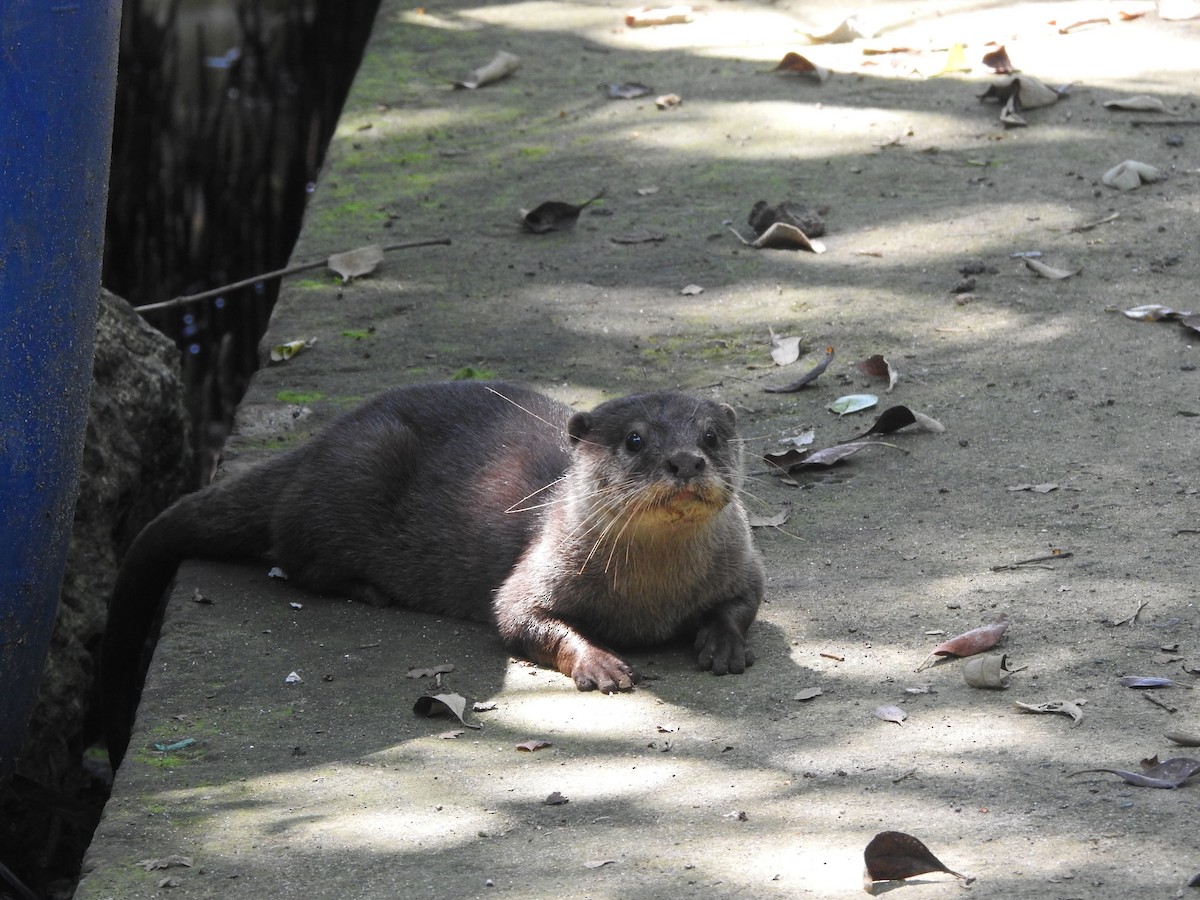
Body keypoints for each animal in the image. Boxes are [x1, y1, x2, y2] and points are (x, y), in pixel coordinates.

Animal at [102, 382, 764, 765]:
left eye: (710, 435)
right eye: (635, 440)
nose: (685, 460)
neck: (650, 599)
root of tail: (323, 440)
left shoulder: (743, 562)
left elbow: (746, 604)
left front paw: (722, 643)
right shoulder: (535, 571)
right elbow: (517, 617)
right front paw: (600, 663)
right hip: (351, 475)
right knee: (291, 553)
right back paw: (368, 590)